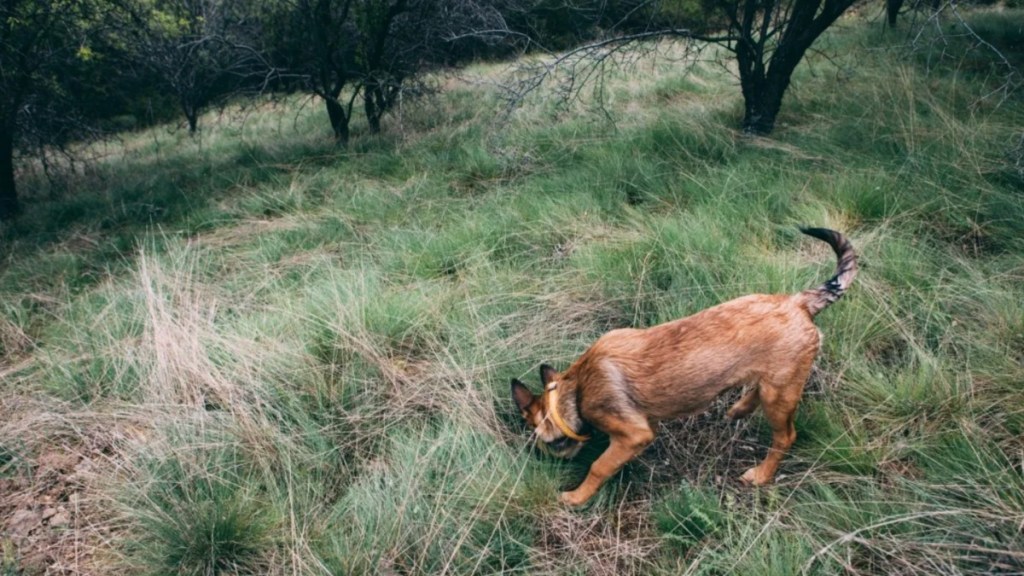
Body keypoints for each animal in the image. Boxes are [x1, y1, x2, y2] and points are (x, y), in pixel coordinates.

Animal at [512, 225, 856, 502]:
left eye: (542, 440)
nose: (544, 464)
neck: (577, 386)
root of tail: (797, 301)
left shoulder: (633, 435)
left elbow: (599, 467)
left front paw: (575, 497)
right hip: (775, 385)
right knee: (756, 391)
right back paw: (739, 408)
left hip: (780, 395)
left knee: (785, 437)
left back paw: (761, 475)